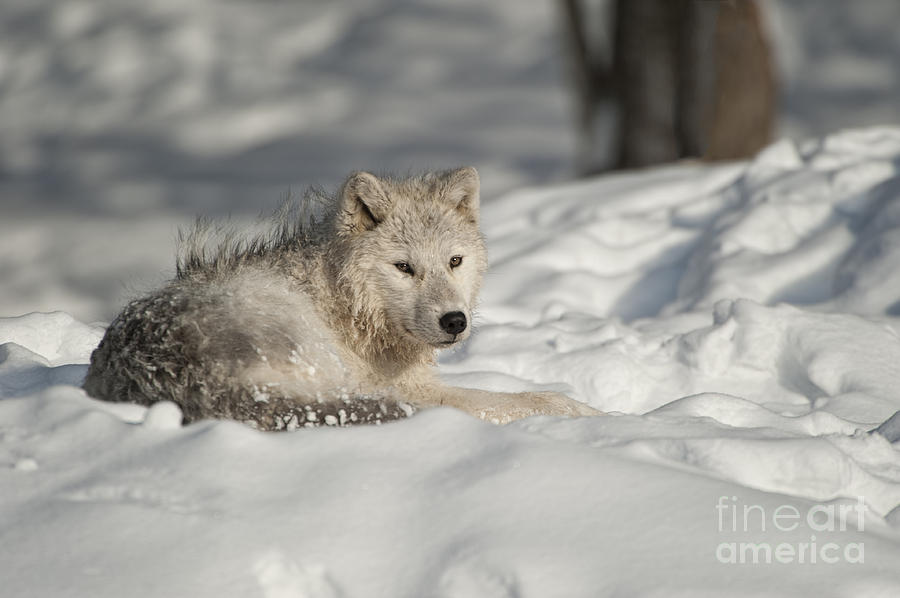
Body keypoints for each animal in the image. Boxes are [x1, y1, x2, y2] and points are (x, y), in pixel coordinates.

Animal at [84, 169, 600, 432]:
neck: (342, 303)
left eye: (454, 261)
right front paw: (596, 415)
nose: (454, 321)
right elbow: (530, 398)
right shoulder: (409, 390)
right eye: (404, 268)